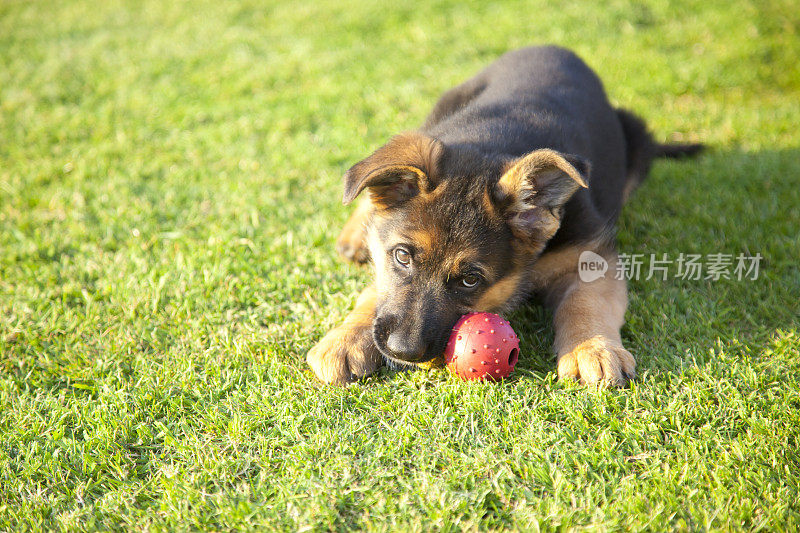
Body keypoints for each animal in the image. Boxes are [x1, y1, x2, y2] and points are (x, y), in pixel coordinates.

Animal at [306, 45, 700, 384]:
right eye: (402, 256)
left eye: (470, 280)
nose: (403, 351)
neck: (493, 141)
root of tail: (551, 46)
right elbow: (375, 290)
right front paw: (346, 337)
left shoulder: (590, 256)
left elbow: (587, 302)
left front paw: (593, 349)